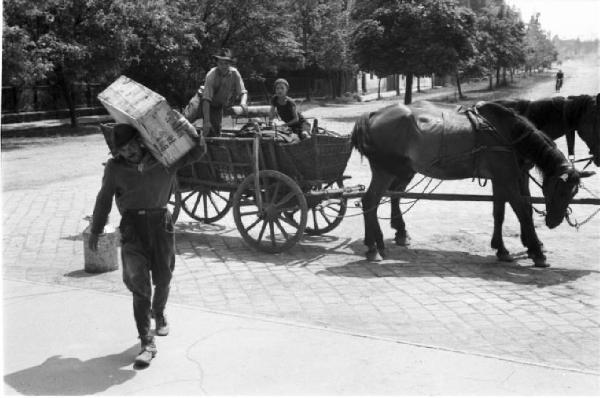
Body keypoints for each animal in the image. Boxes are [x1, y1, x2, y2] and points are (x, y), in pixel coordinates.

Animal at [352, 99, 596, 268]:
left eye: (574, 192)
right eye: (561, 191)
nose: (554, 222)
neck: (507, 133)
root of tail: (373, 114)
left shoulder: (501, 179)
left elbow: (499, 213)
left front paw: (501, 249)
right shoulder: (508, 179)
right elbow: (522, 211)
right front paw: (537, 251)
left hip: (400, 170)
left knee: (380, 199)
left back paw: (379, 242)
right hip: (385, 171)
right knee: (370, 201)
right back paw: (374, 247)